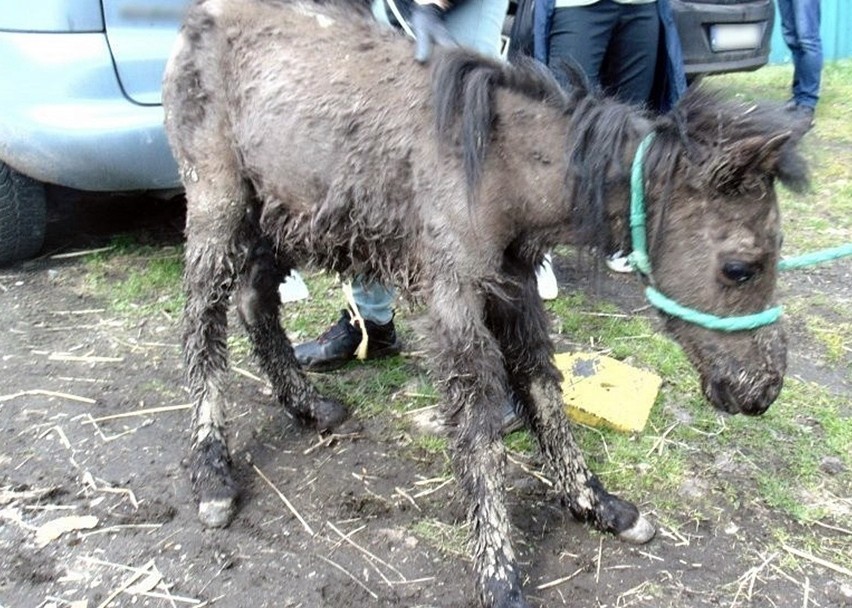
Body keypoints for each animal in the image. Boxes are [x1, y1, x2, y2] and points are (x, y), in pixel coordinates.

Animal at [163, 2, 808, 604]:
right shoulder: (452, 298)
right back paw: (212, 473)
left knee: (254, 299)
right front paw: (499, 572)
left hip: (285, 209)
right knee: (202, 319)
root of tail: (198, 17)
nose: (763, 390)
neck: (502, 167)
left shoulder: (515, 285)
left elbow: (543, 385)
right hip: (219, 197)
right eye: (741, 267)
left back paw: (307, 405)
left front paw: (594, 503)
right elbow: (475, 426)